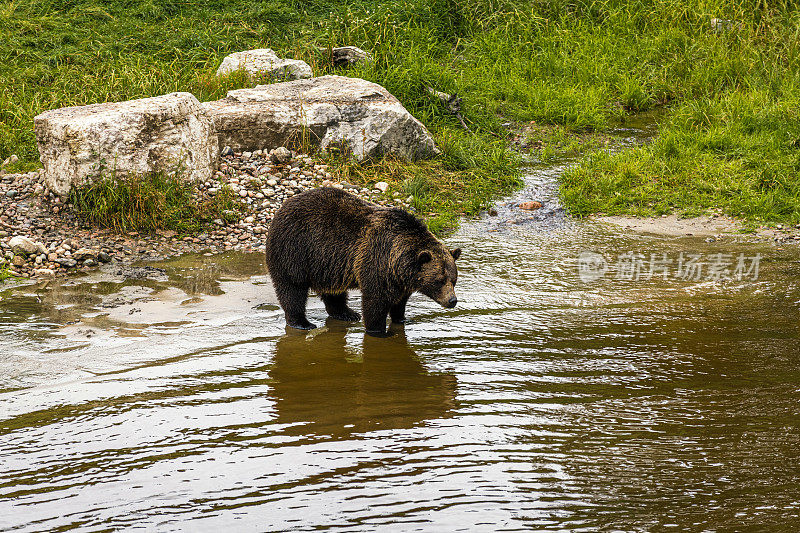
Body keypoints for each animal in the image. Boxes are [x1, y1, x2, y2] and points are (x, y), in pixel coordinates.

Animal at [266, 187, 460, 334]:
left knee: (333, 292)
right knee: (292, 289)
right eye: (439, 280)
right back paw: (302, 322)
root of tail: (282, 208)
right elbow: (376, 301)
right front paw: (378, 331)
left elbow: (400, 302)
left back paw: (347, 313)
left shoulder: (400, 278)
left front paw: (402, 319)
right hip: (295, 250)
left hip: (326, 264)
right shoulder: (378, 261)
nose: (452, 300)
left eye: (454, 280)